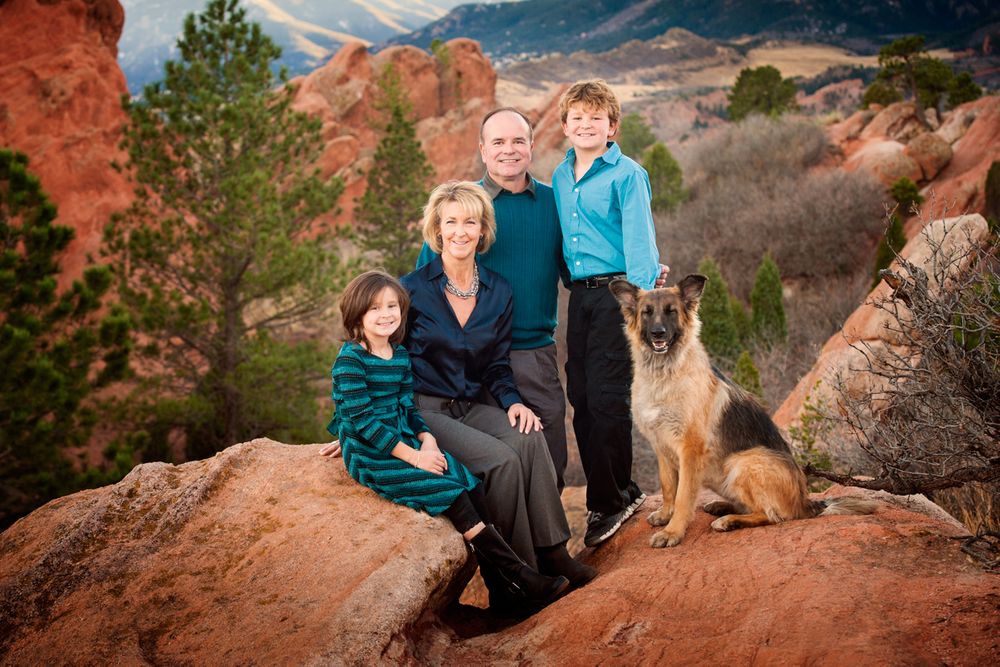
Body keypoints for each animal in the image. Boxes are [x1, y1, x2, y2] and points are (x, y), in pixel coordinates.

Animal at [604, 276, 872, 548]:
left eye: (671, 312)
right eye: (647, 313)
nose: (658, 333)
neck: (665, 374)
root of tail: (806, 502)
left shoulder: (690, 450)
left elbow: (683, 497)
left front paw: (673, 531)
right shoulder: (661, 446)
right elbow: (668, 487)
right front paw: (665, 515)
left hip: (743, 462)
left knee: (771, 515)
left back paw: (729, 521)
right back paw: (721, 507)